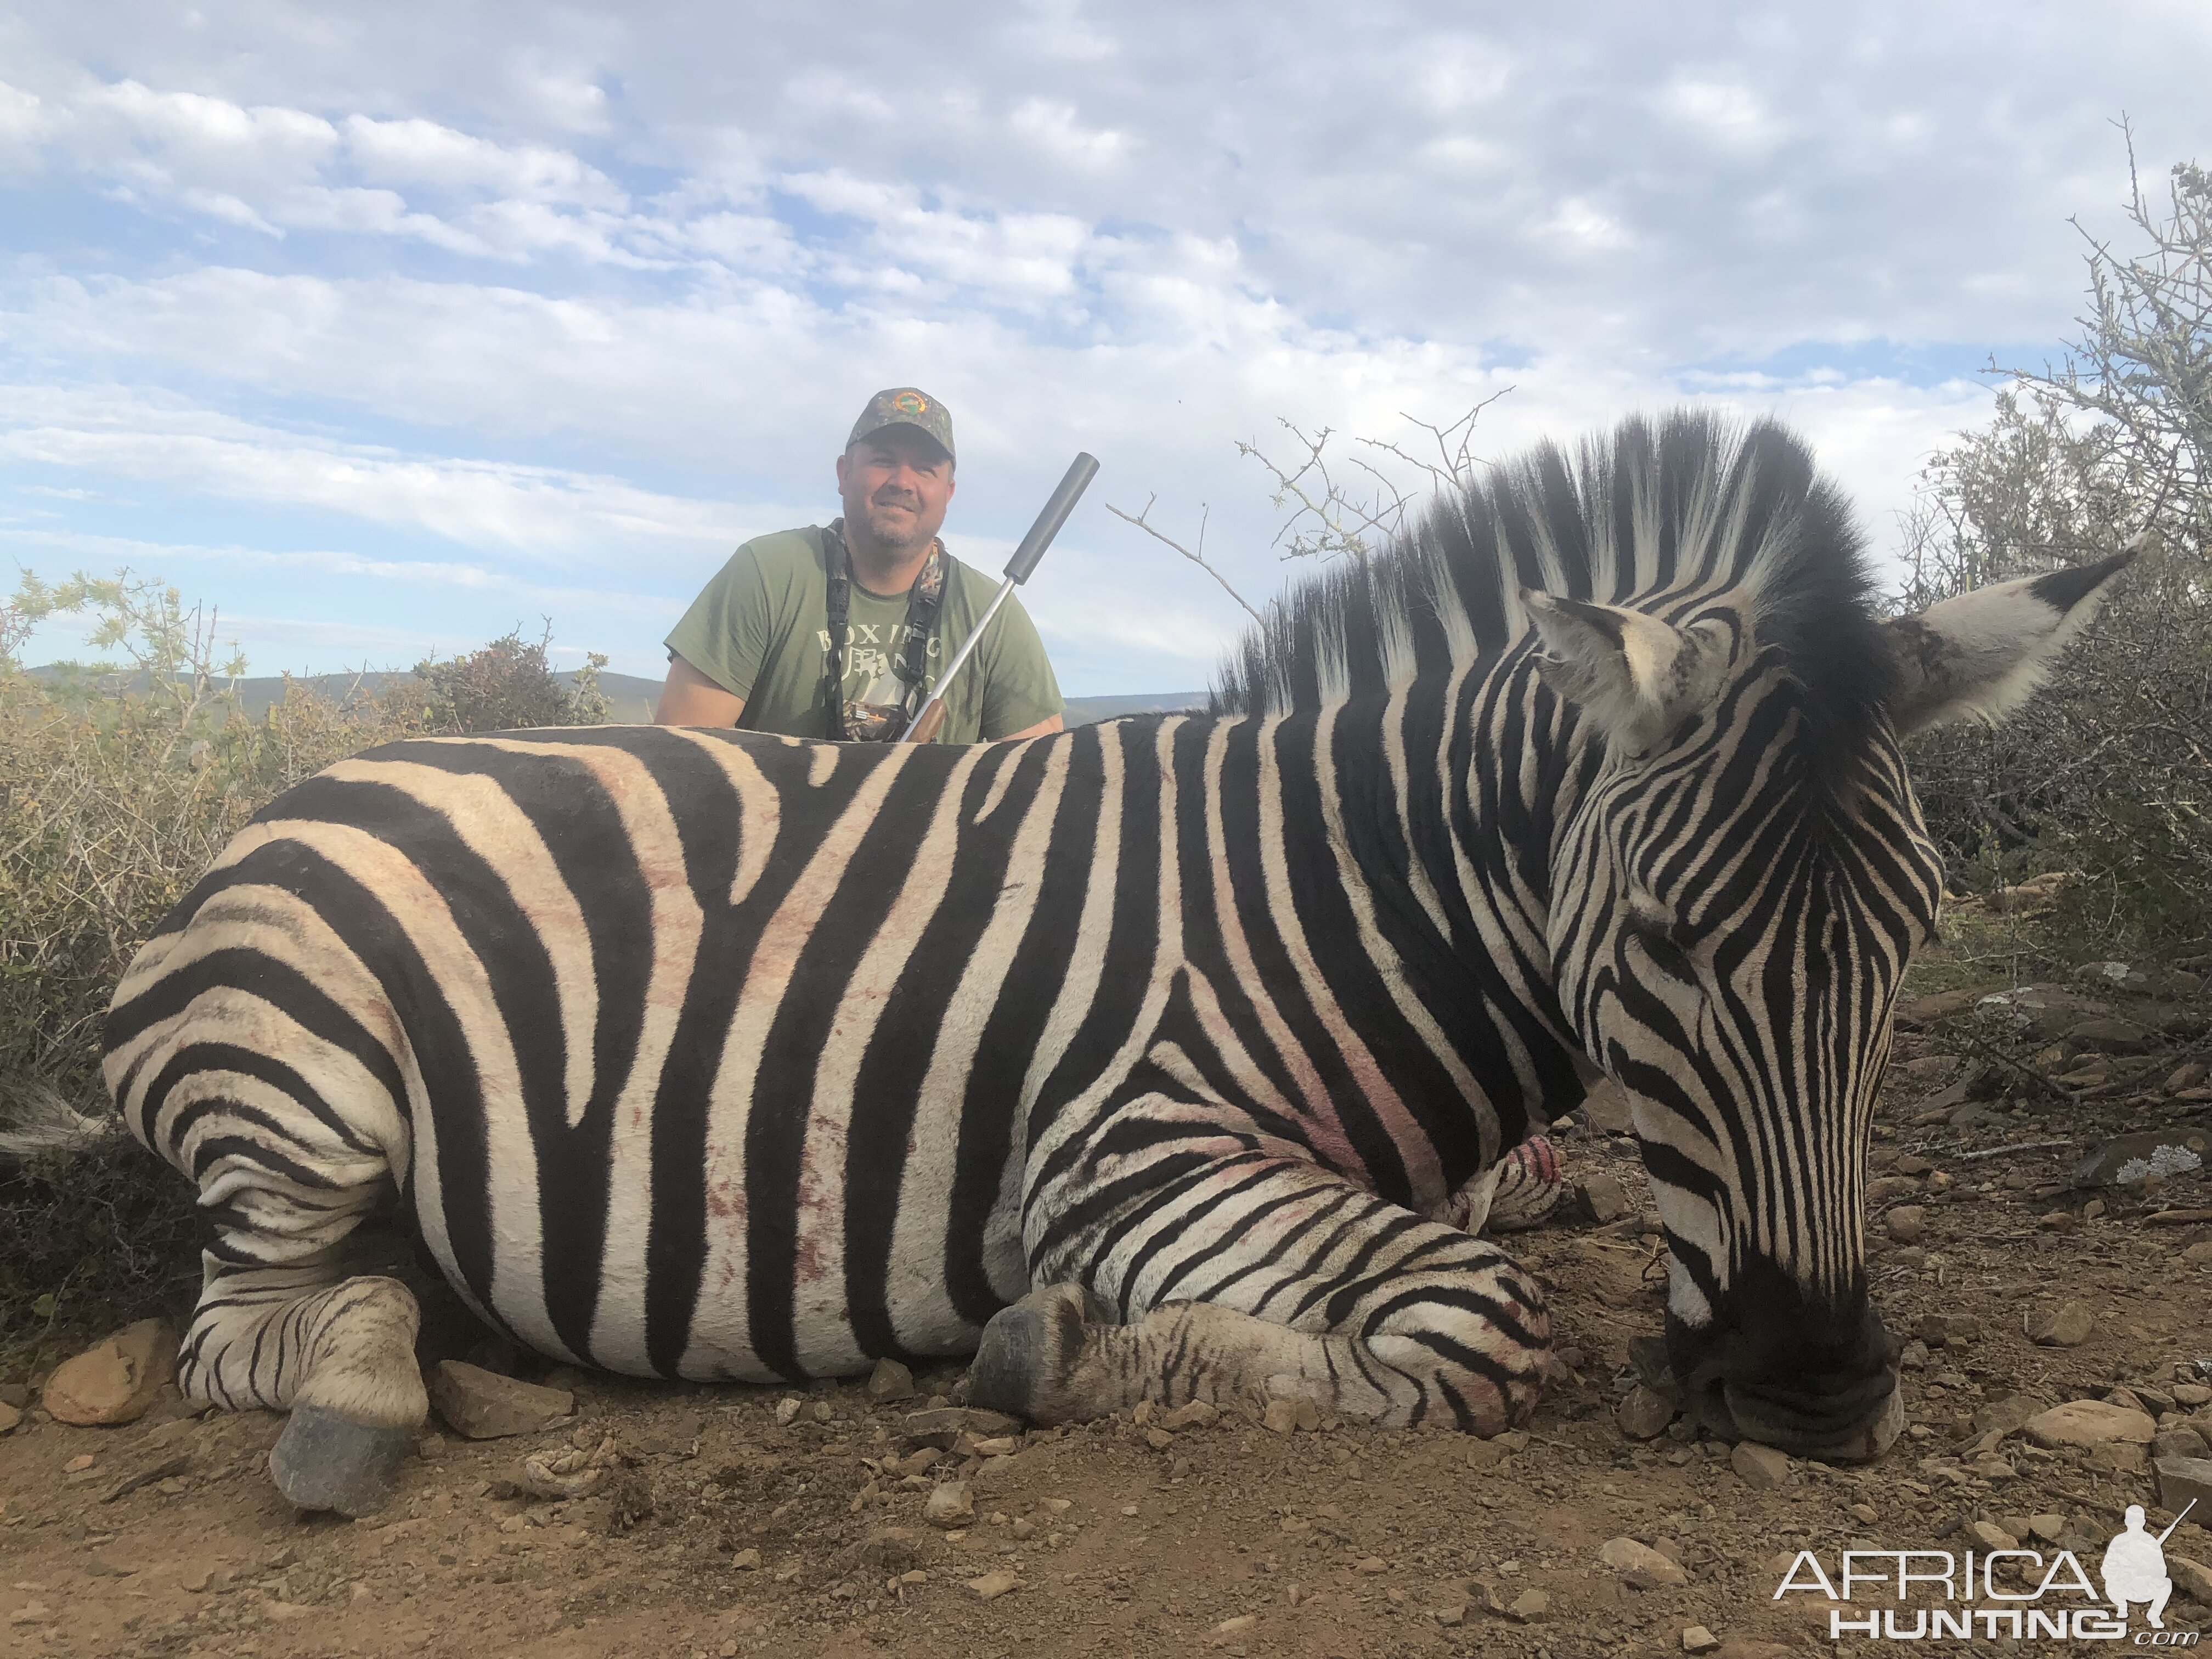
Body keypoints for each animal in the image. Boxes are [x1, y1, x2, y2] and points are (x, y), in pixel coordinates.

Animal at [99, 413, 2123, 1522]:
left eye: (1908, 946)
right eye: (1663, 951)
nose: (1821, 1394)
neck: (1334, 887)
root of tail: (279, 799)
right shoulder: (1116, 1156)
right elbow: (1479, 1319)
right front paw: (1066, 1349)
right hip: (304, 1093)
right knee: (246, 1329)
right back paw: (365, 1399)